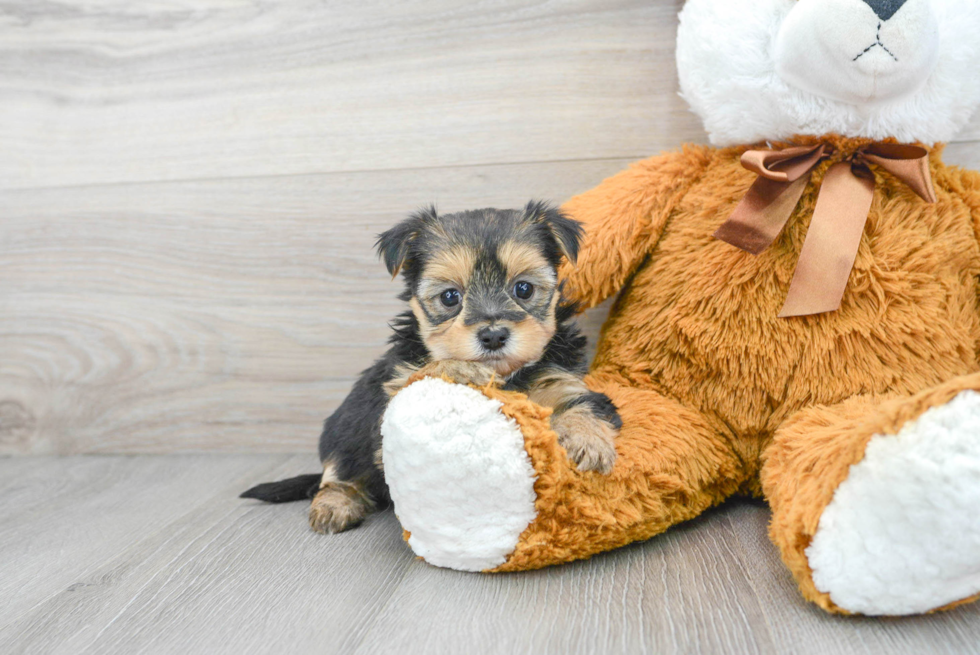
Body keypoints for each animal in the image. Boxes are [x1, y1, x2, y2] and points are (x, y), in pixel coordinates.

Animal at [241, 204, 620, 532]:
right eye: (450, 297)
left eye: (523, 289)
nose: (493, 335)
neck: (508, 374)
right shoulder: (394, 391)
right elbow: (427, 371)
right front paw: (463, 369)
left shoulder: (562, 379)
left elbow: (581, 404)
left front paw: (589, 442)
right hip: (344, 428)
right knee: (337, 470)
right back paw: (335, 504)